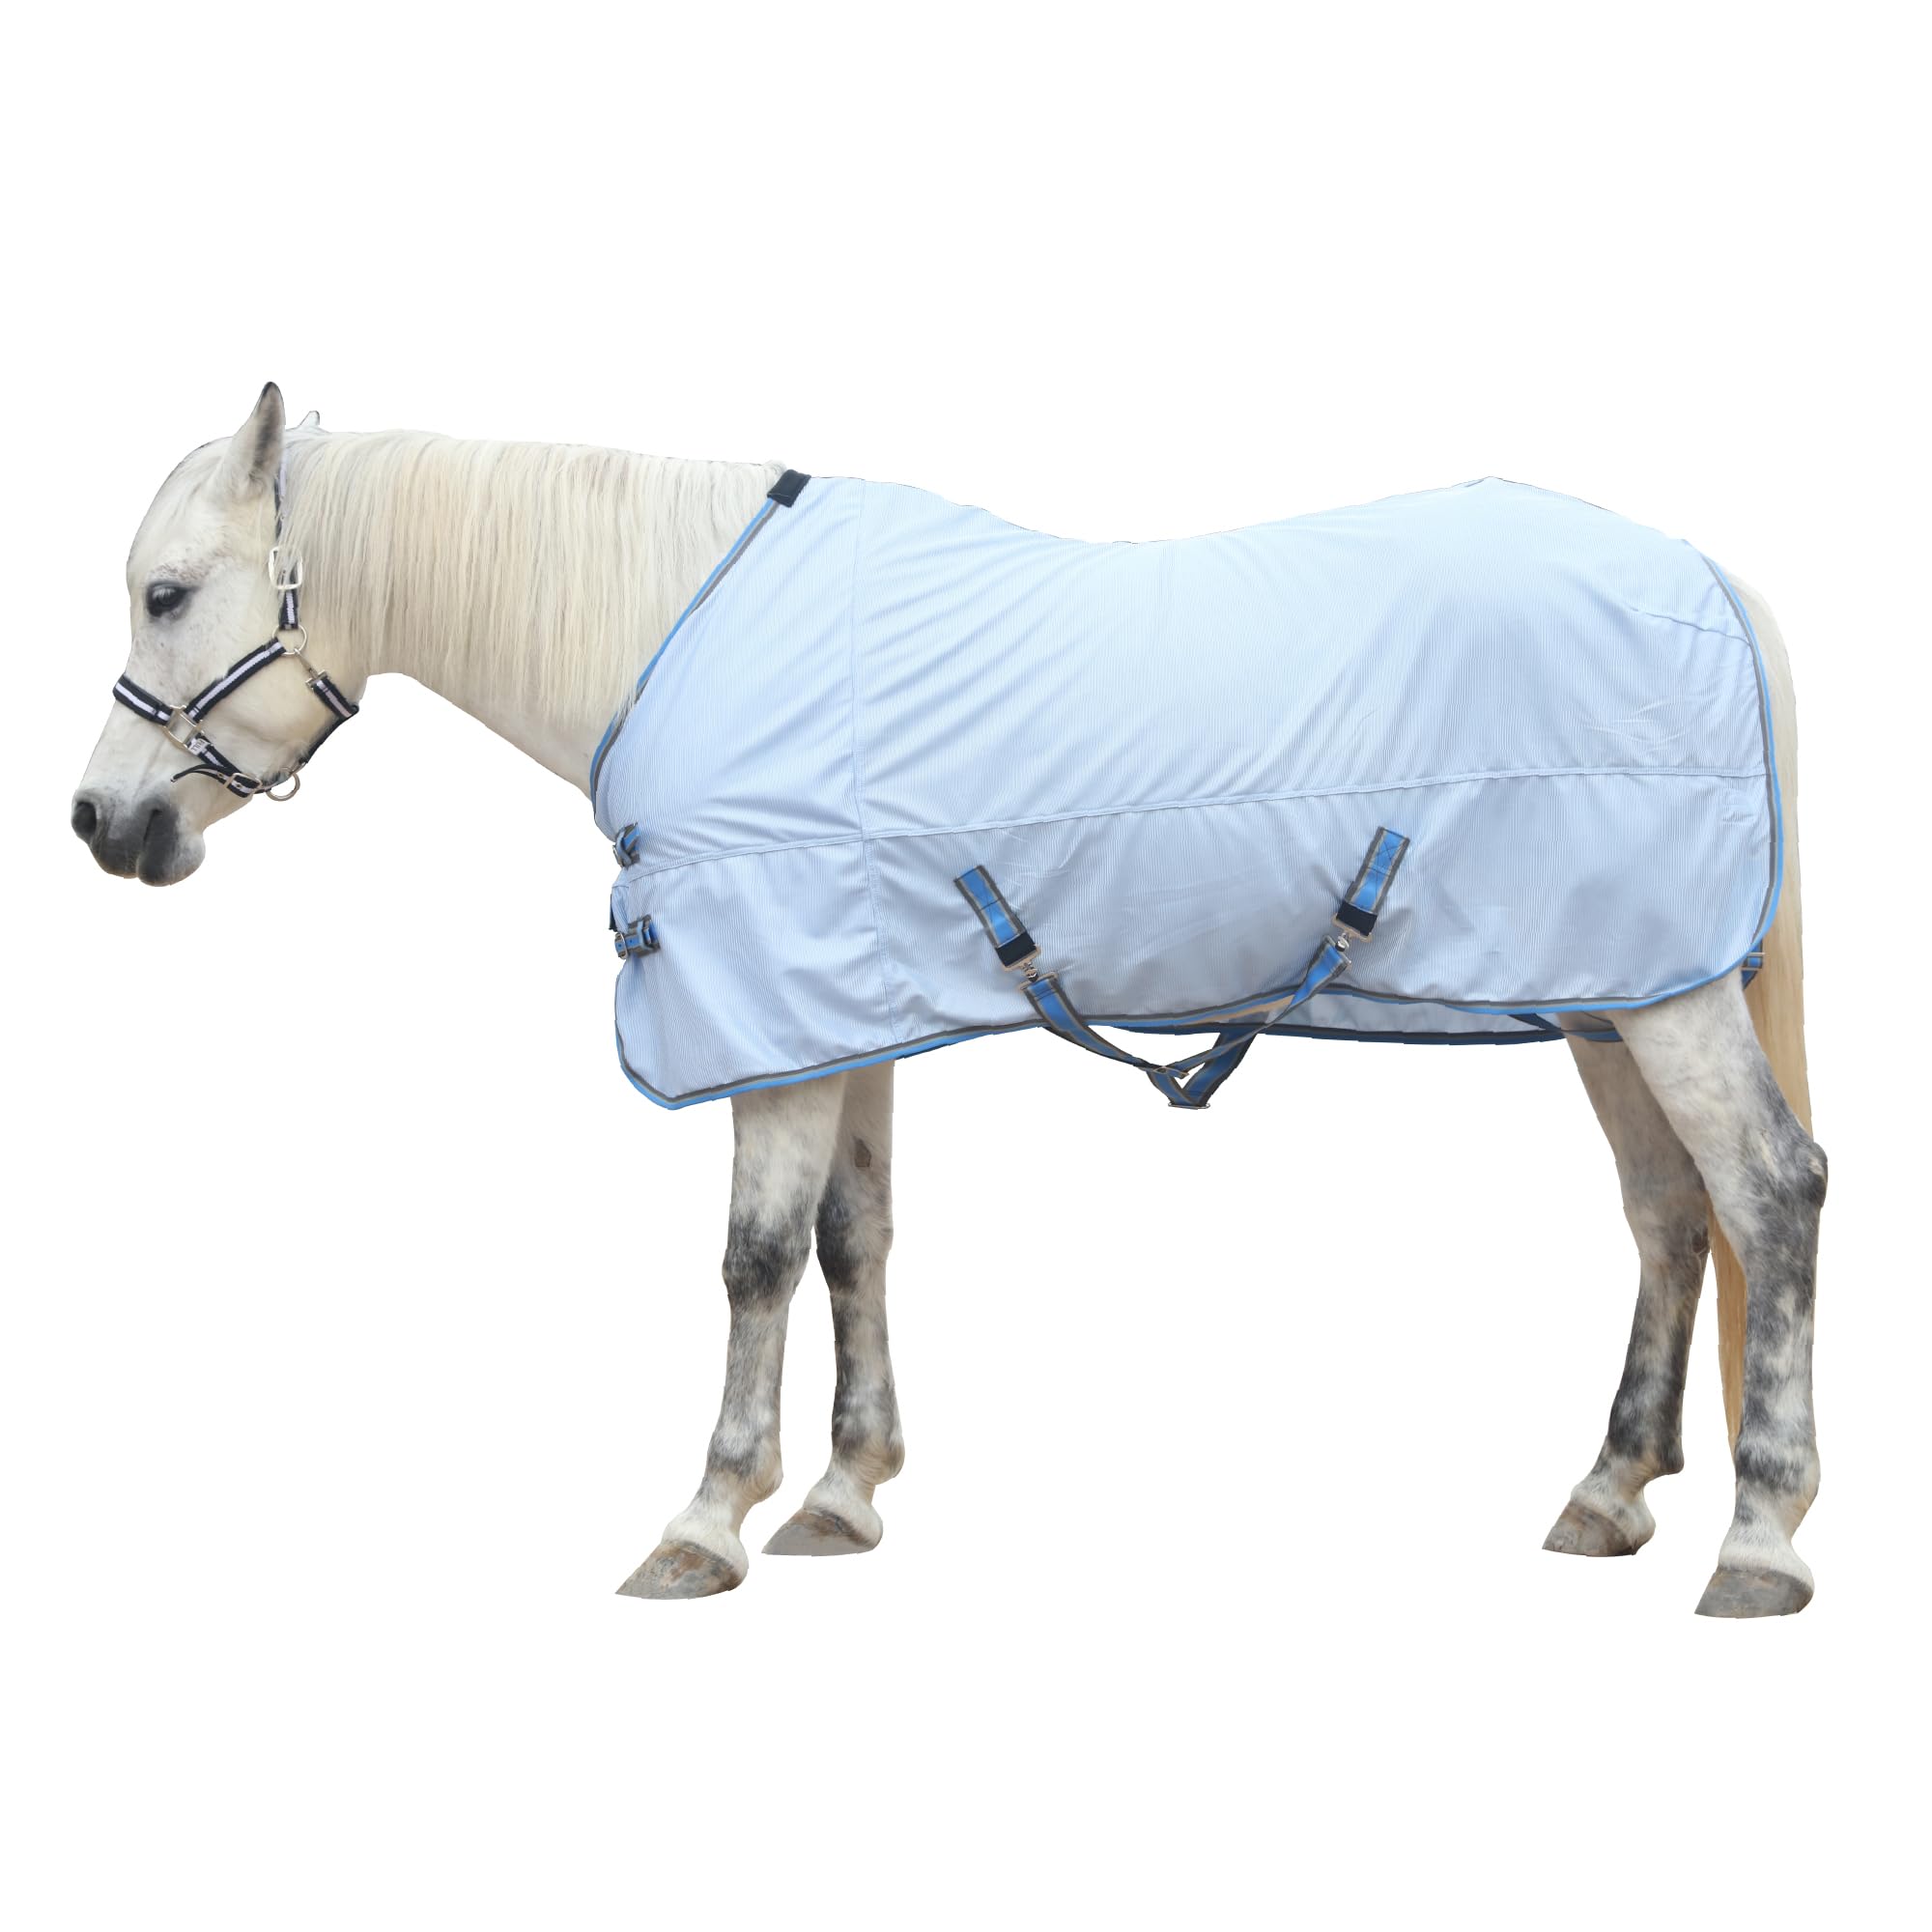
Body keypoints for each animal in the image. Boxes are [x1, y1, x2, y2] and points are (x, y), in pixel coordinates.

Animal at [71, 385, 1827, 1616]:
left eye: (167, 593)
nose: (100, 825)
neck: (668, 630)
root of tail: (1708, 578)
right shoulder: (840, 1007)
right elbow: (855, 1238)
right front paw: (843, 1498)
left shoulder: (766, 1018)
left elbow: (756, 1260)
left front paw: (705, 1519)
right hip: (1615, 989)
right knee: (1672, 1216)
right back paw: (1609, 1494)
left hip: (1663, 1004)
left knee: (1771, 1192)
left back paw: (1759, 1536)